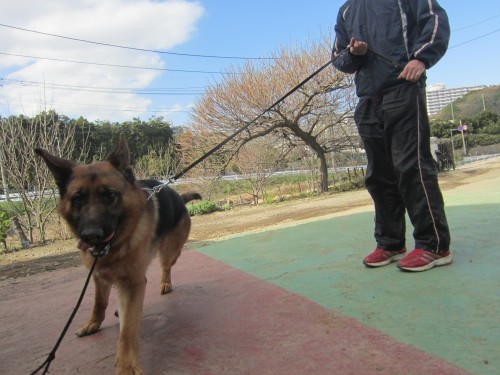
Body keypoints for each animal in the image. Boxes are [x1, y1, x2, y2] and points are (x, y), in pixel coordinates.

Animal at [35, 136, 201, 375]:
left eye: (110, 196)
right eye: (78, 199)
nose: (91, 236)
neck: (116, 246)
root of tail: (178, 195)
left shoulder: (132, 283)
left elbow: (128, 331)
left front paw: (126, 365)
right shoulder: (98, 275)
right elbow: (99, 301)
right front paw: (93, 323)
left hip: (170, 252)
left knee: (165, 267)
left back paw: (165, 283)